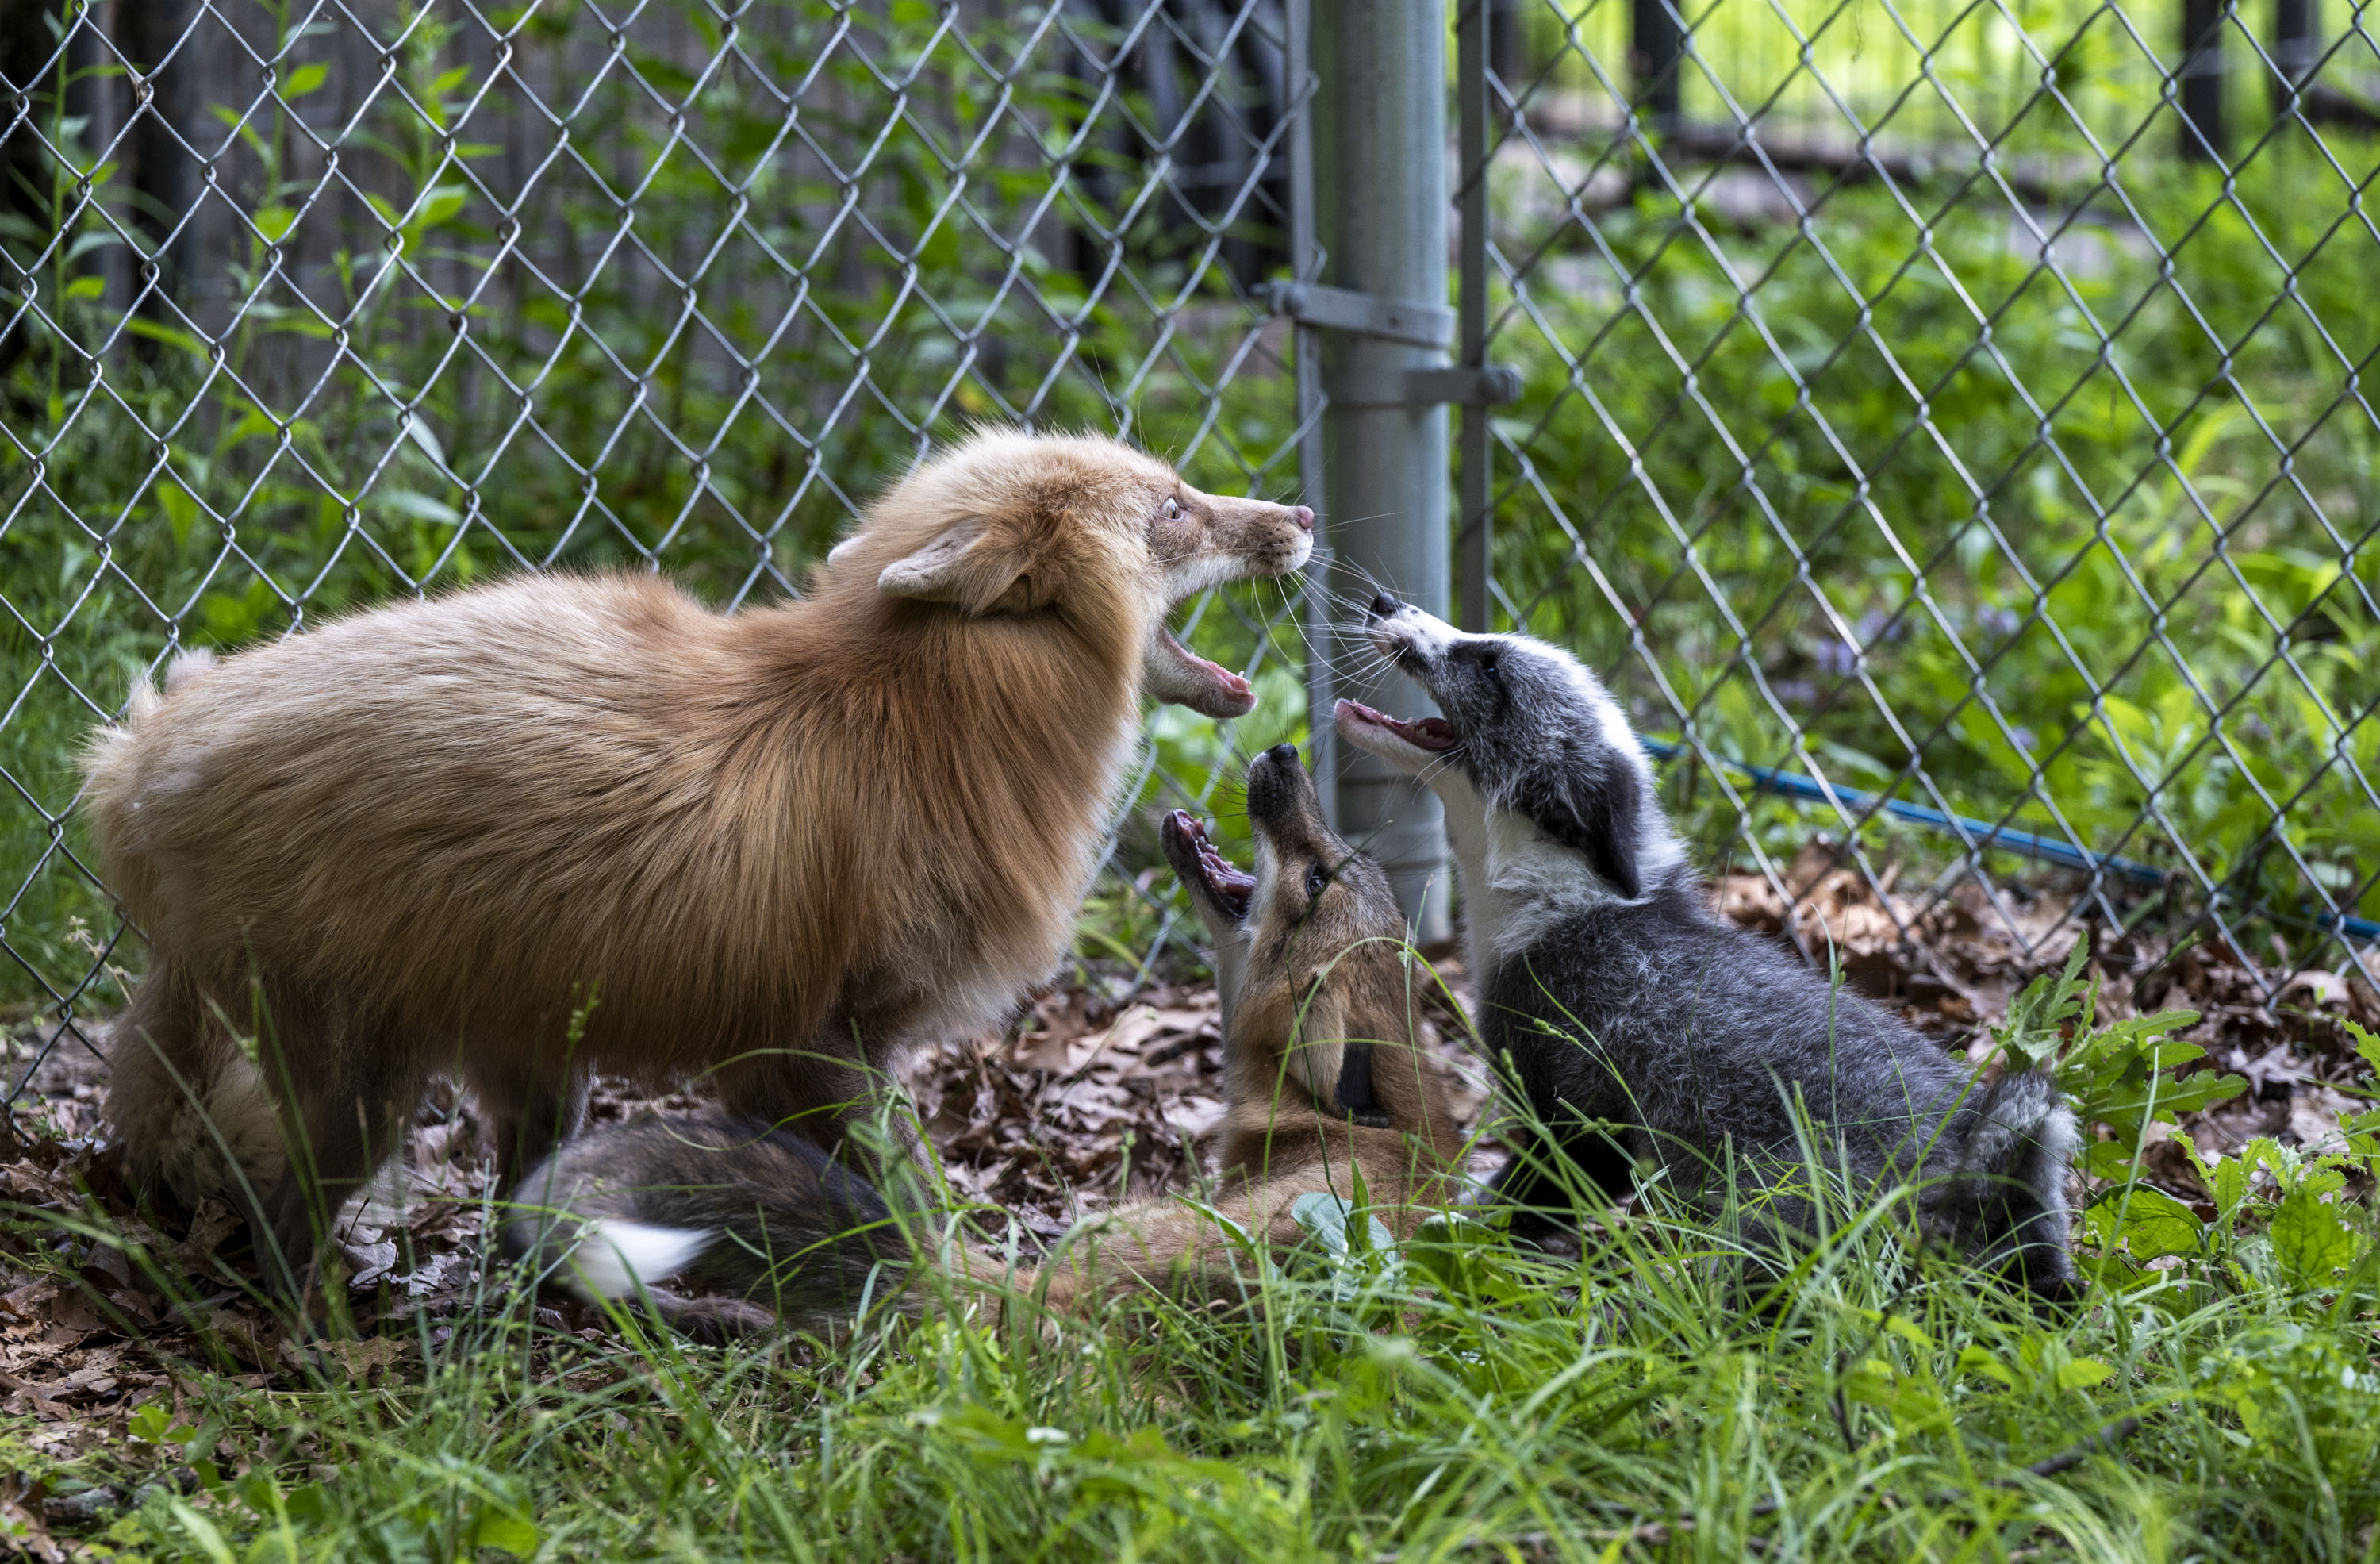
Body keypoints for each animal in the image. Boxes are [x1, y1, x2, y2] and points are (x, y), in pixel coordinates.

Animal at [84, 430, 1312, 1279]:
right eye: (1174, 509)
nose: (1301, 511)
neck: (927, 715)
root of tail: (134, 754)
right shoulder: (824, 1039)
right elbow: (910, 1202)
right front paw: (961, 1303)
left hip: (536, 1069)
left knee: (509, 1215)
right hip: (361, 1093)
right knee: (279, 1231)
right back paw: (324, 1354)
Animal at [1332, 594, 2080, 1304]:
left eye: (1490, 667)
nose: (1382, 601)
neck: (1571, 903)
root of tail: (1976, 1151)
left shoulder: (1583, 1121)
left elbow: (1520, 1200)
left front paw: (1459, 1234)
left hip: (1767, 1224)